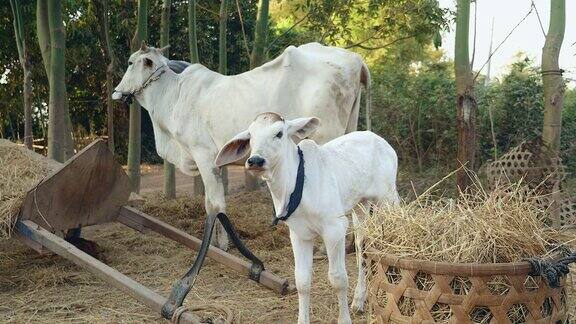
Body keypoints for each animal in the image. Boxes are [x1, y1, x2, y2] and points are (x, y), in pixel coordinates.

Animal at [113, 41, 374, 249]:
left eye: (130, 62)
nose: (116, 91)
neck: (173, 95)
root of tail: (356, 60)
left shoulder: (203, 155)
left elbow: (214, 204)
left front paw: (221, 246)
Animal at [214, 112, 398, 322]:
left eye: (279, 133)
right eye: (251, 135)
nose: (255, 161)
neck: (294, 183)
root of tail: (378, 139)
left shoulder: (335, 229)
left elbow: (338, 278)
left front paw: (344, 319)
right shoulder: (299, 234)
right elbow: (302, 281)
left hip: (388, 199)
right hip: (361, 205)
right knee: (362, 246)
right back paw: (359, 300)